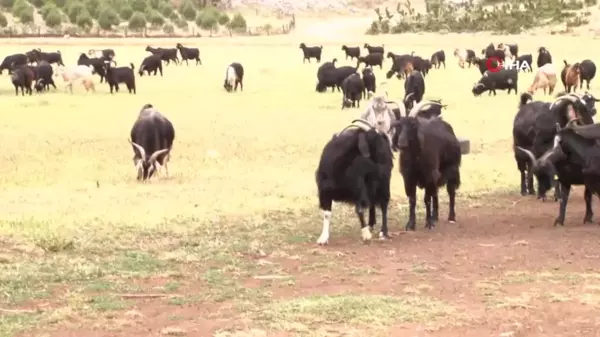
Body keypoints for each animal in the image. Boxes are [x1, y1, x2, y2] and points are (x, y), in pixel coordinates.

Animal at [394, 101, 464, 230]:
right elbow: (412, 200)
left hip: (452, 171)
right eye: (399, 125)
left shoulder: (429, 175)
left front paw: (428, 223)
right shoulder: (408, 178)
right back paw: (435, 216)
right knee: (435, 194)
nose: (401, 143)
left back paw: (451, 217)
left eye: (413, 125)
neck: (415, 159)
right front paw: (410, 224)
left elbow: (426, 199)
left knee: (451, 193)